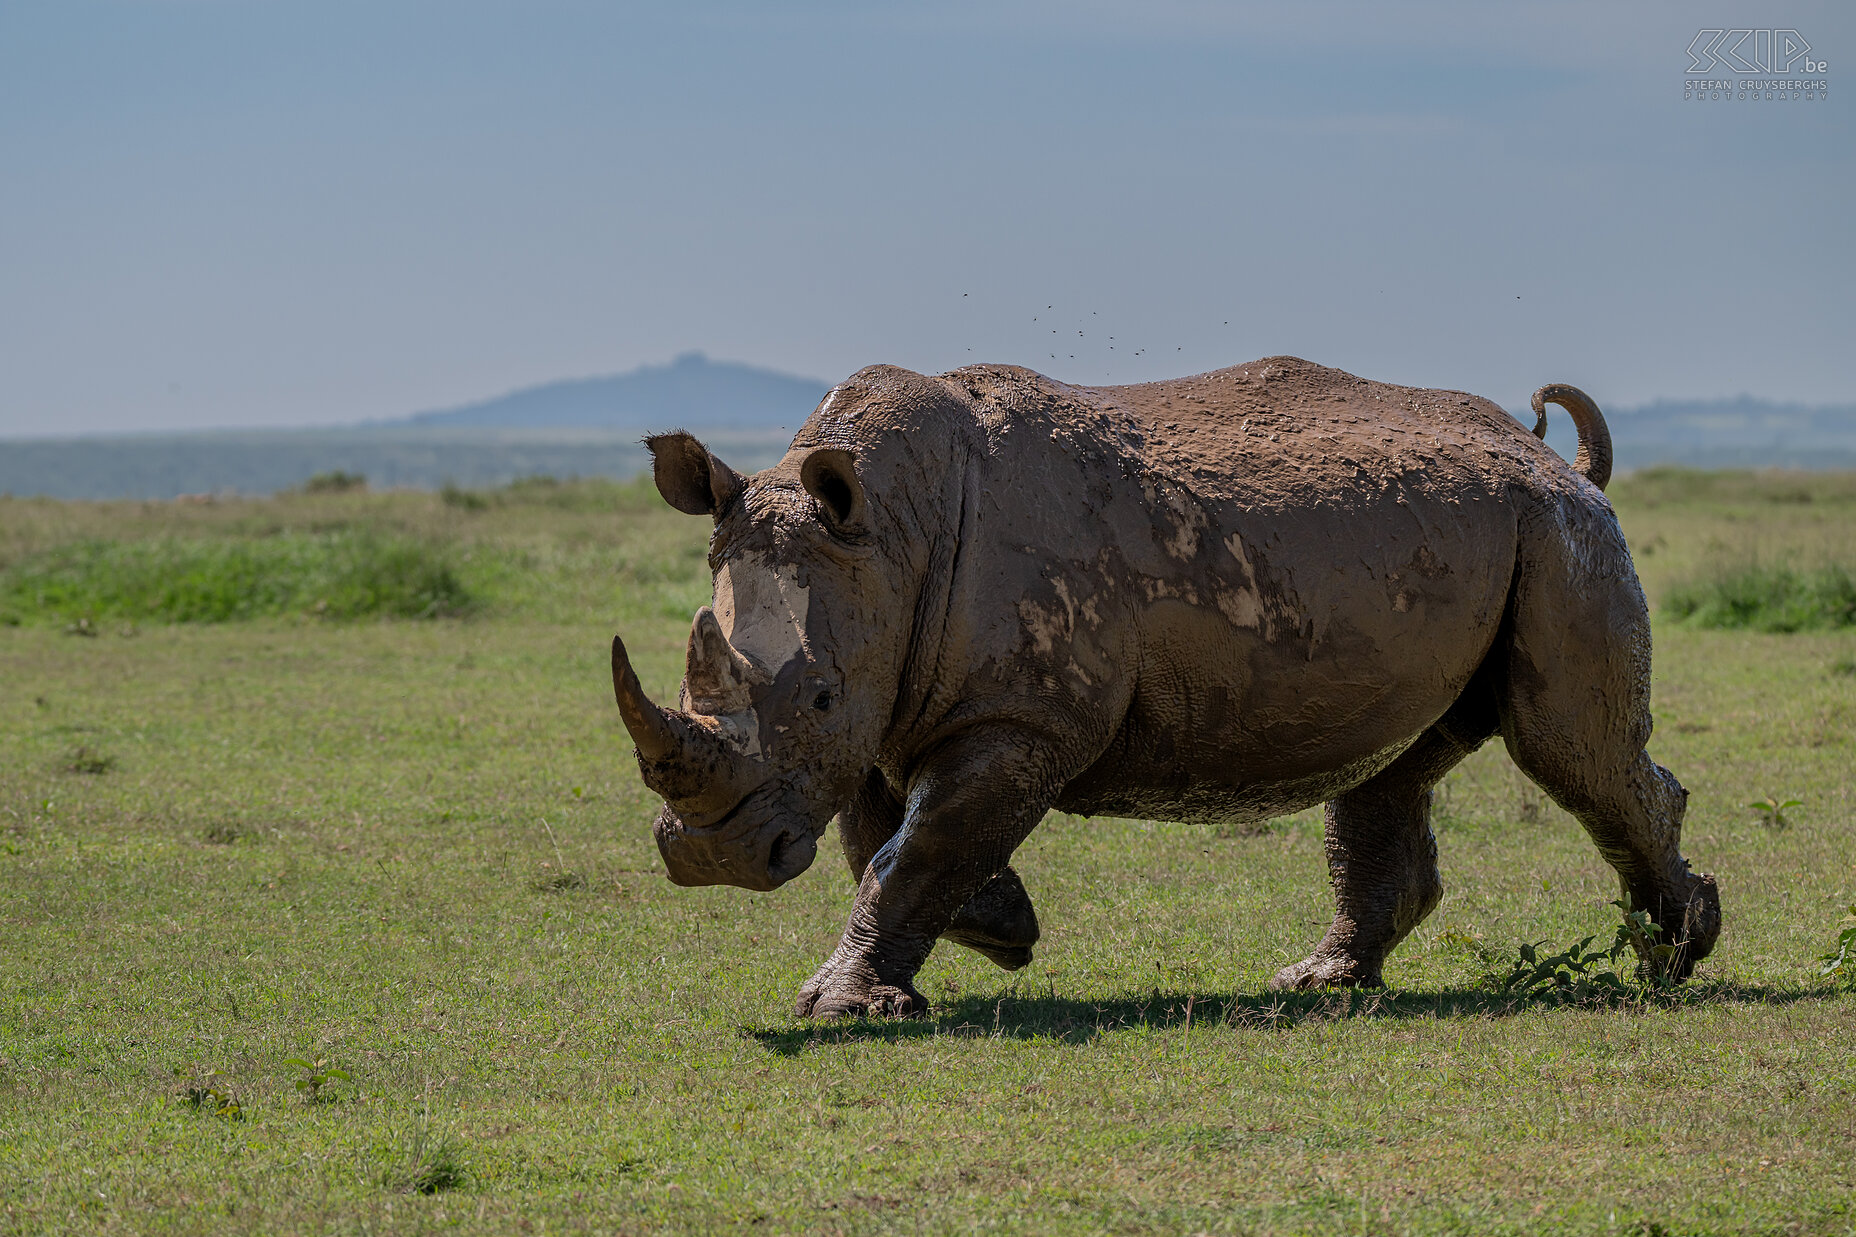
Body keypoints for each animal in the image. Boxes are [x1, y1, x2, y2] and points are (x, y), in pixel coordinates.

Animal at [608, 354, 1722, 1010]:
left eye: (818, 696)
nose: (711, 859)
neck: (887, 525)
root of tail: (1553, 459)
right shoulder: (900, 694)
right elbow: (880, 837)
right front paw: (1002, 926)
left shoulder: (1015, 715)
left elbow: (911, 847)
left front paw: (837, 1006)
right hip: (1465, 538)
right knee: (1396, 762)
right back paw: (1315, 984)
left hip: (1557, 537)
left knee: (1566, 749)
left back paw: (1674, 957)